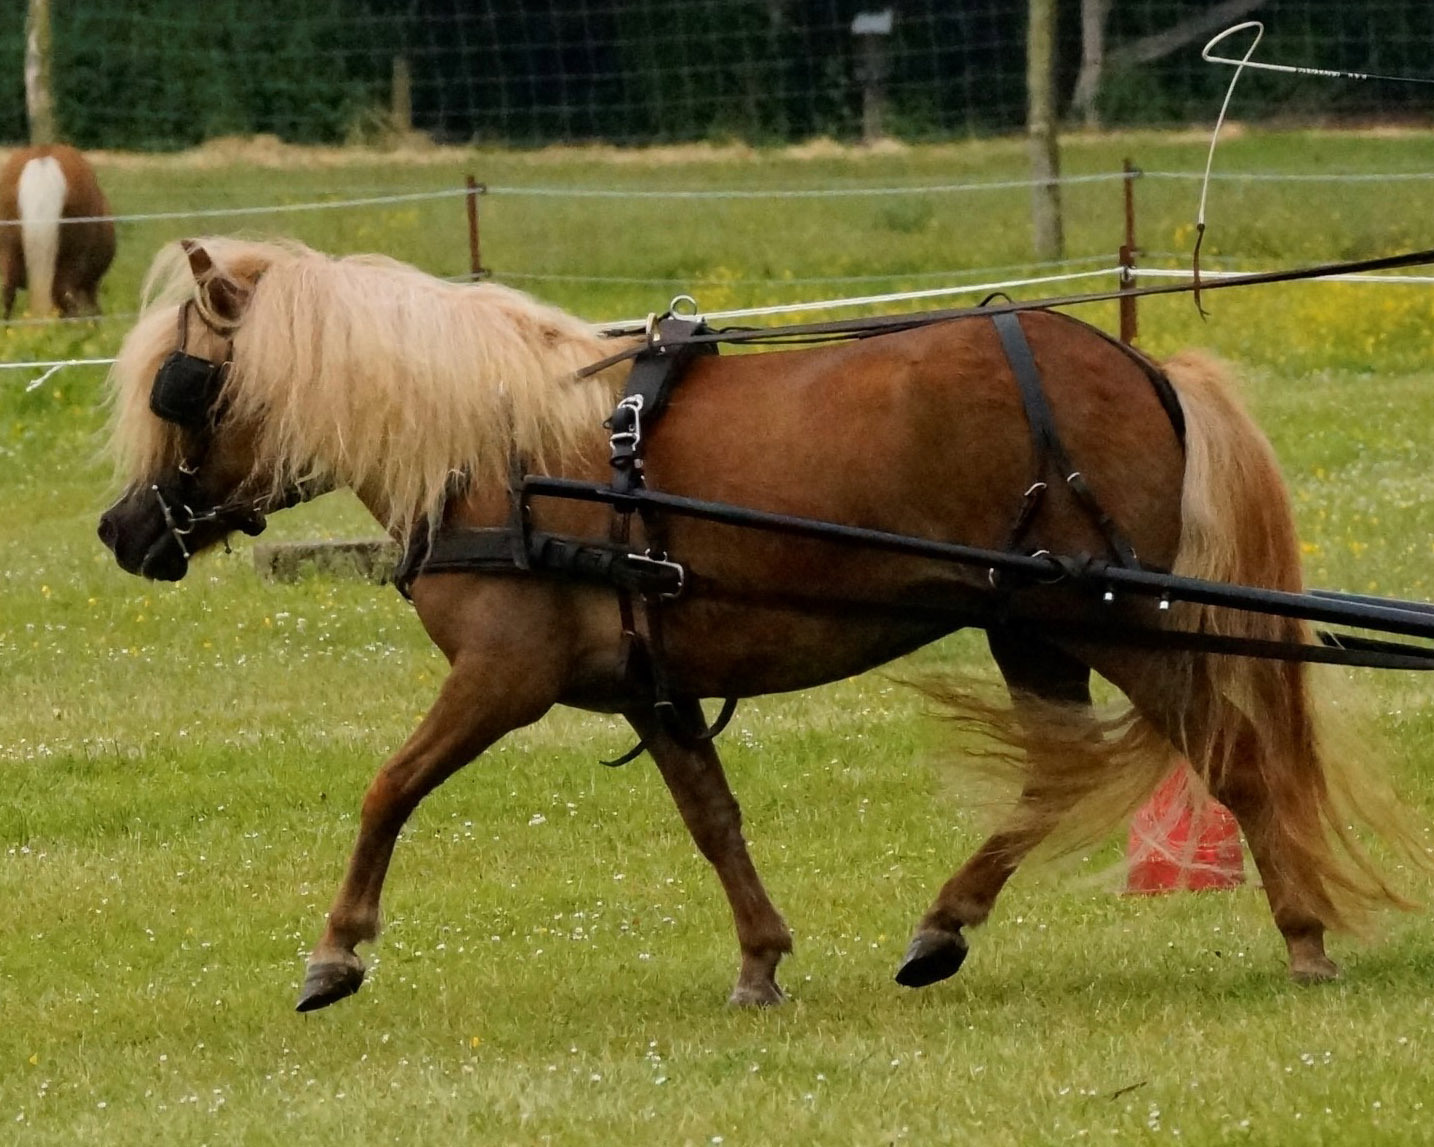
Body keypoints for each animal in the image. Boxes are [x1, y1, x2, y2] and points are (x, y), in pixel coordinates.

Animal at [95, 239, 1416, 1015]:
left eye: (182, 385)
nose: (122, 528)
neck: (499, 453)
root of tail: (1138, 367)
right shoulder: (655, 685)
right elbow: (714, 821)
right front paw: (761, 958)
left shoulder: (504, 674)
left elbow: (388, 786)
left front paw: (338, 950)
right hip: (1034, 627)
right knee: (1054, 778)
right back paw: (944, 926)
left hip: (1110, 620)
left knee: (1231, 760)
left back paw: (1303, 935)